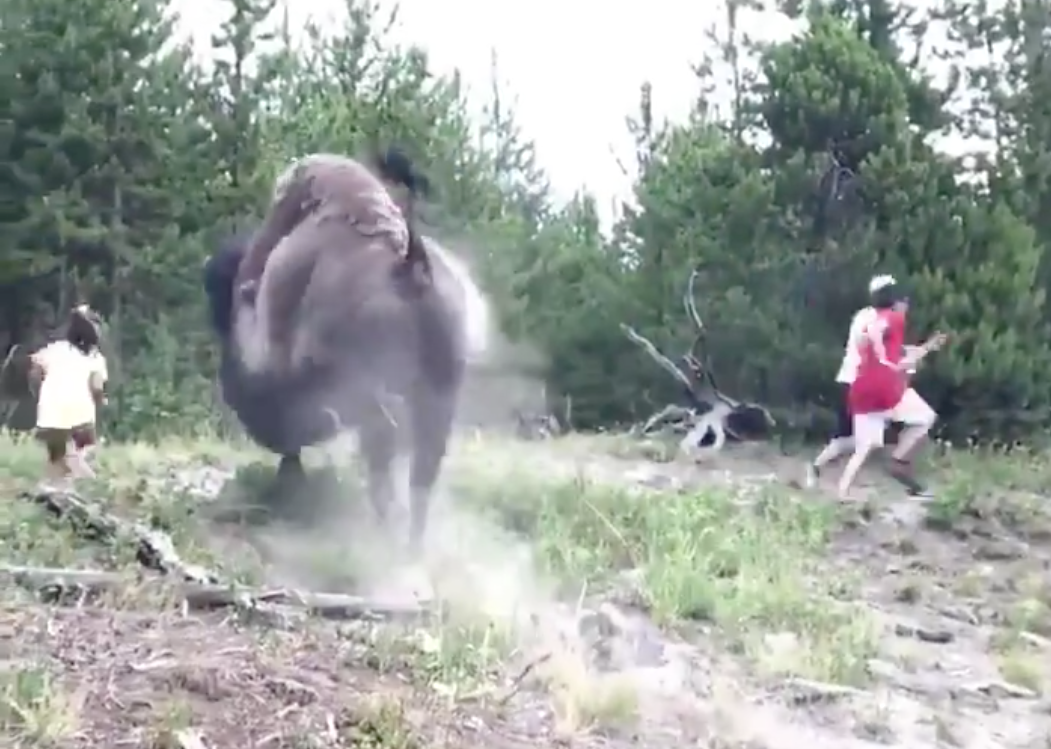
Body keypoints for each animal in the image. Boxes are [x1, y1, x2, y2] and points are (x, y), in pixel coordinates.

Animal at [204, 150, 491, 550]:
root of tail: (409, 267)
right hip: (439, 394)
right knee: (421, 470)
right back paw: (409, 544)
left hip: (370, 390)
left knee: (385, 444)